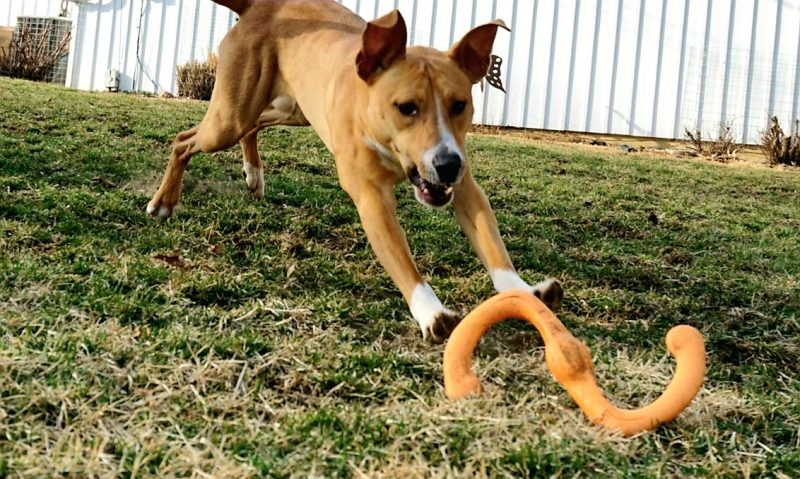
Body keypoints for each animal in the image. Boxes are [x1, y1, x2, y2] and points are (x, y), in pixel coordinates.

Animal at [148, 0, 564, 344]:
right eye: (407, 107)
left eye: (459, 105)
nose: (447, 165)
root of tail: (260, 5)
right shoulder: (372, 199)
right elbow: (401, 259)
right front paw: (430, 311)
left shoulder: (465, 189)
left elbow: (492, 244)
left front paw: (523, 290)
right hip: (229, 117)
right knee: (185, 140)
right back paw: (164, 202)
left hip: (291, 109)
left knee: (254, 126)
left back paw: (253, 174)